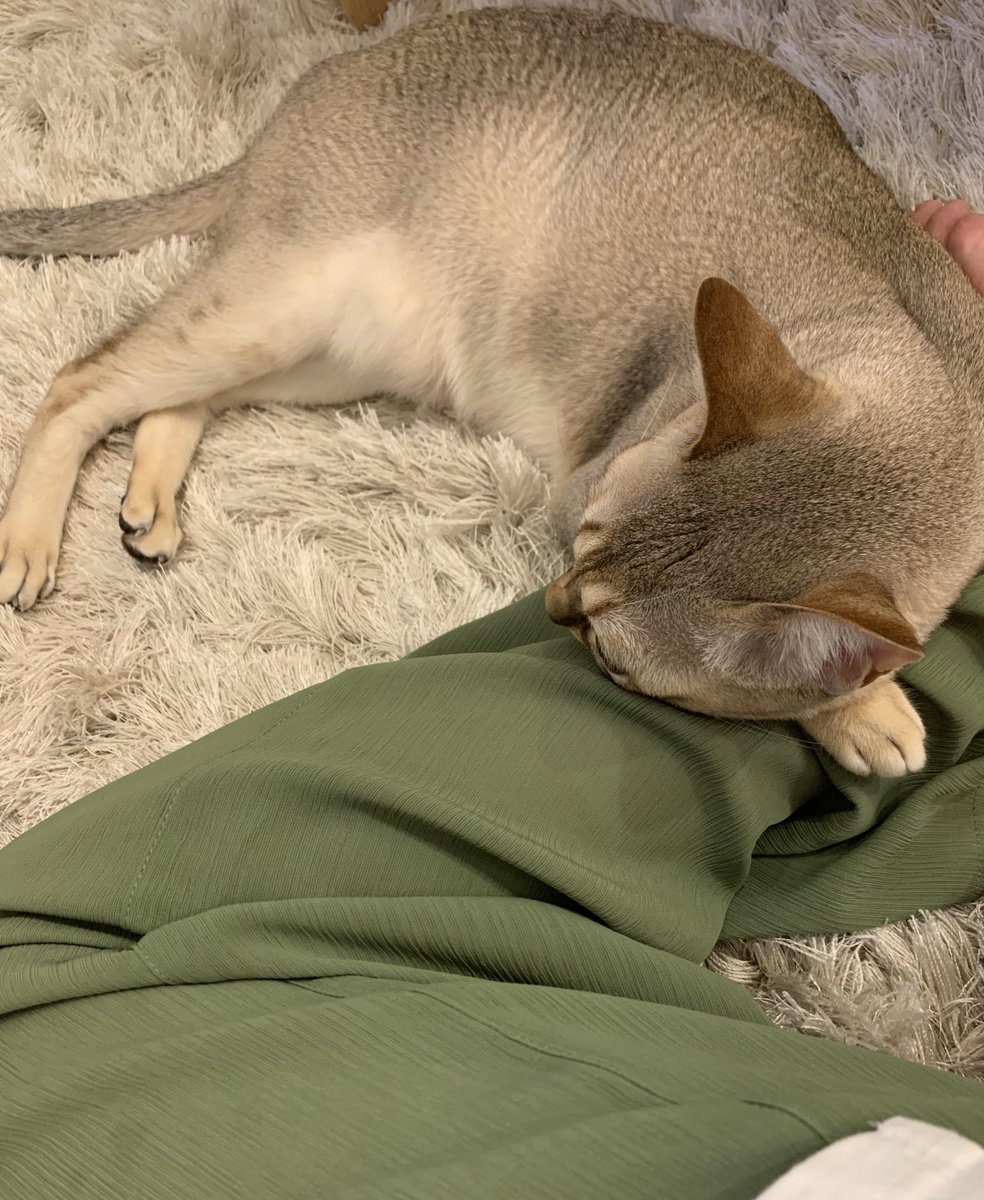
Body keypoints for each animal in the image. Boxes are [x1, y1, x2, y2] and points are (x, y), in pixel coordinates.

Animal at [1, 8, 982, 778]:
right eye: (579, 544)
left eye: (611, 657)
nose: (551, 607)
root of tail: (298, 100)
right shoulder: (579, 482)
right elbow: (849, 665)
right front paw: (866, 710)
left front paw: (864, 695)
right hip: (282, 304)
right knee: (83, 376)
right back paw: (27, 543)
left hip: (345, 351)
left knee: (180, 393)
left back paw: (150, 502)